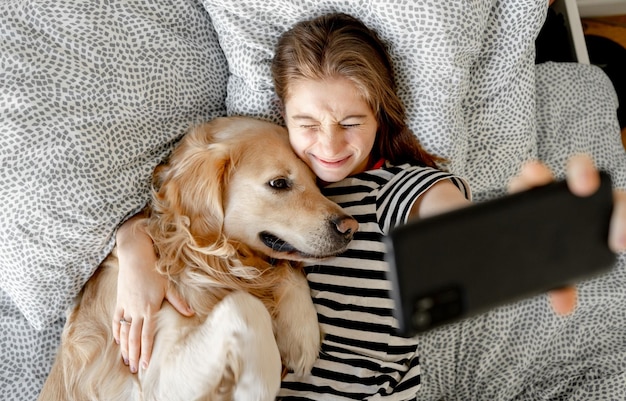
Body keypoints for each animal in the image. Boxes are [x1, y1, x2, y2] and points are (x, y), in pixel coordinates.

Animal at [39, 115, 358, 400]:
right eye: (279, 183)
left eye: (316, 182)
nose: (350, 227)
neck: (196, 260)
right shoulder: (151, 381)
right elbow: (245, 305)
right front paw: (256, 385)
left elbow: (283, 269)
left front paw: (301, 332)